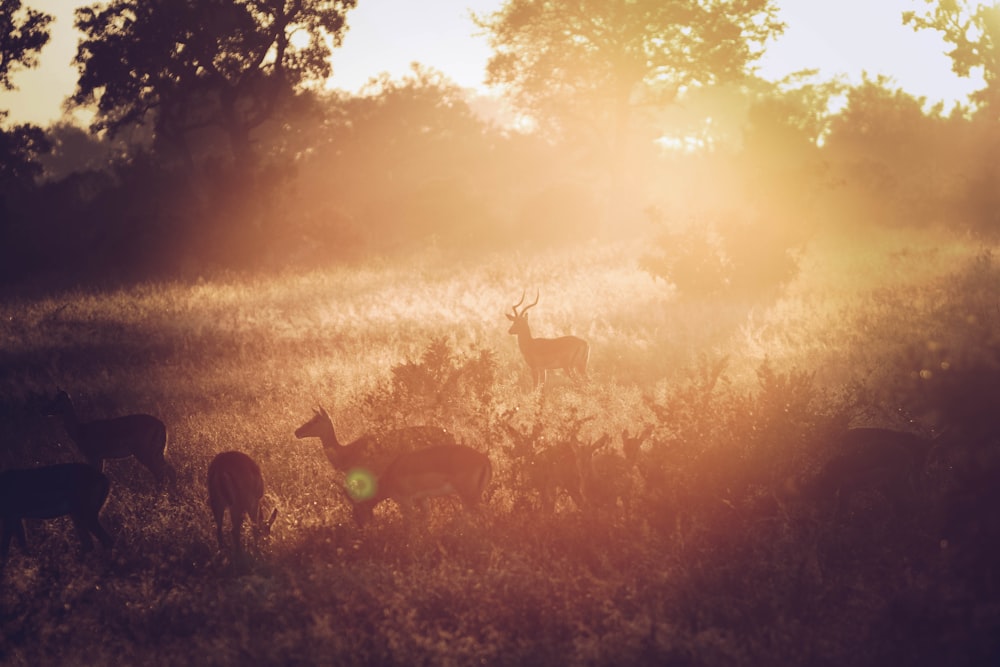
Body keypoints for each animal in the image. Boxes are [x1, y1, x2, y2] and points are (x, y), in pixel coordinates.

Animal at [45, 386, 175, 486]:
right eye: (53, 398)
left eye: (58, 401)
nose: (46, 410)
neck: (80, 432)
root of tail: (163, 426)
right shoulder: (100, 456)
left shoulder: (94, 455)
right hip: (158, 450)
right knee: (168, 470)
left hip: (144, 450)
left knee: (160, 471)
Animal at [346, 444, 494, 528]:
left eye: (357, 511)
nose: (361, 528)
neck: (391, 473)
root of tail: (484, 458)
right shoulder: (422, 499)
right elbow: (426, 520)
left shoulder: (406, 501)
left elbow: (409, 525)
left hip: (468, 497)